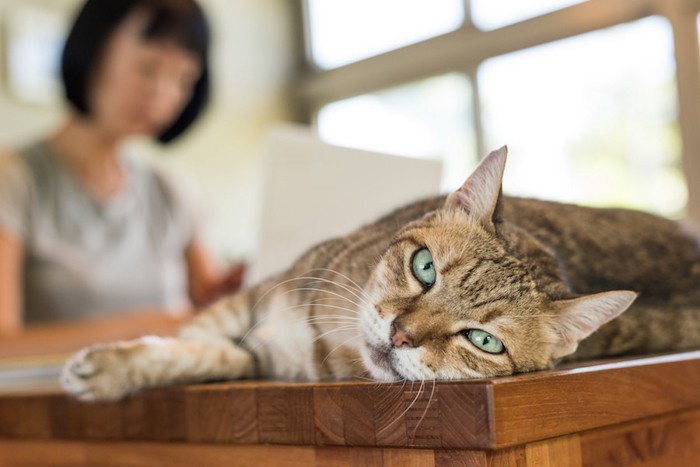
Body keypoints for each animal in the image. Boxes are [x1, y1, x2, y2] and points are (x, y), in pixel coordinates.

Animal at [60, 147, 700, 402]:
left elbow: (205, 356)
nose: (400, 335)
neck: (325, 334)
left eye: (484, 340)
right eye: (425, 268)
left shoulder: (265, 358)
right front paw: (120, 361)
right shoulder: (257, 296)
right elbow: (191, 339)